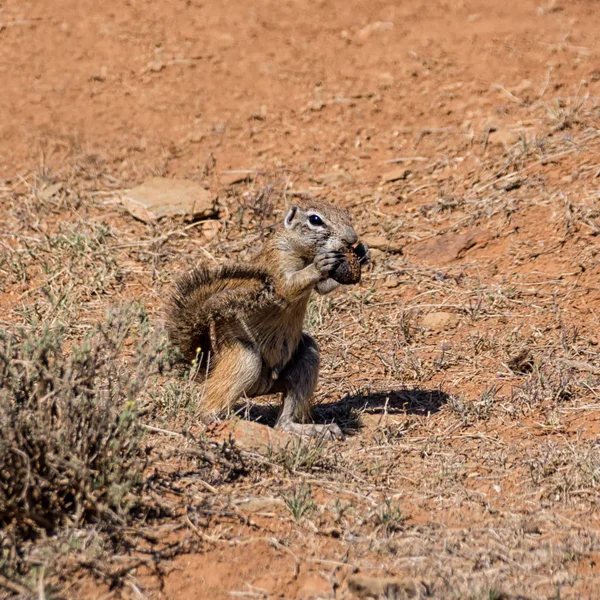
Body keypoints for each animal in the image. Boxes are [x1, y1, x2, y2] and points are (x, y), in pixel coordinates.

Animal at [165, 199, 370, 438]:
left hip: (306, 356)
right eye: (315, 219)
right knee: (207, 406)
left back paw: (314, 429)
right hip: (245, 358)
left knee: (283, 421)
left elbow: (323, 288)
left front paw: (364, 254)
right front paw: (320, 264)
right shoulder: (278, 264)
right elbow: (288, 286)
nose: (352, 239)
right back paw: (220, 420)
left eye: (346, 214)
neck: (303, 253)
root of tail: (210, 369)